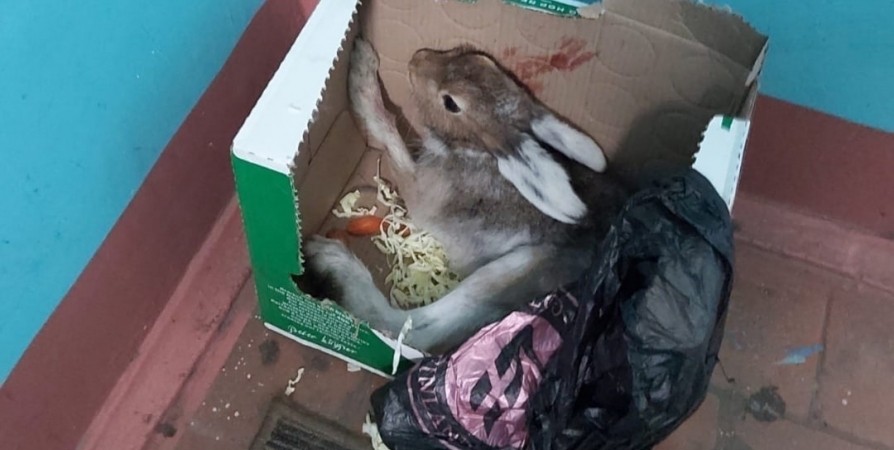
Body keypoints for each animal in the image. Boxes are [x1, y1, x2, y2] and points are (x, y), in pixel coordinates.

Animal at [298, 37, 628, 354]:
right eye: (481, 60)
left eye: (451, 103)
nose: (417, 59)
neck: (474, 151)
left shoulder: (419, 188)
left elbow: (388, 132)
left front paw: (361, 70)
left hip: (506, 272)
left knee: (413, 328)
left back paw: (328, 260)